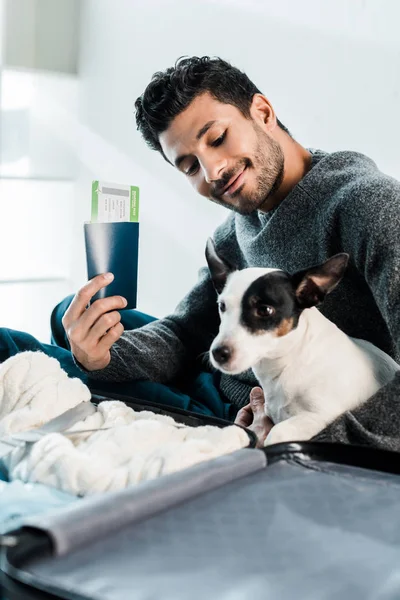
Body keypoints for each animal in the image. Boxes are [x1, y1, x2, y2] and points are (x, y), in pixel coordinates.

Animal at [206, 238, 400, 446]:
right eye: (222, 306)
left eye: (265, 310)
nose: (218, 353)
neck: (289, 359)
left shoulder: (320, 416)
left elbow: (278, 432)